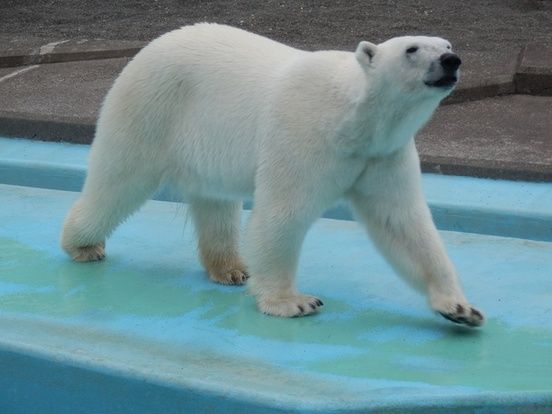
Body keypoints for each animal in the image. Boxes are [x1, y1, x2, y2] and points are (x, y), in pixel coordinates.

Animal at [61, 22, 484, 326]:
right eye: (412, 49)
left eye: (446, 44)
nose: (452, 61)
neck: (351, 119)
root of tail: (146, 50)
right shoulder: (304, 135)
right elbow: (284, 214)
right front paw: (292, 302)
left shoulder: (381, 155)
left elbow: (403, 223)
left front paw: (461, 309)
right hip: (150, 107)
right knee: (118, 180)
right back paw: (83, 244)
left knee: (215, 202)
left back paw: (231, 269)